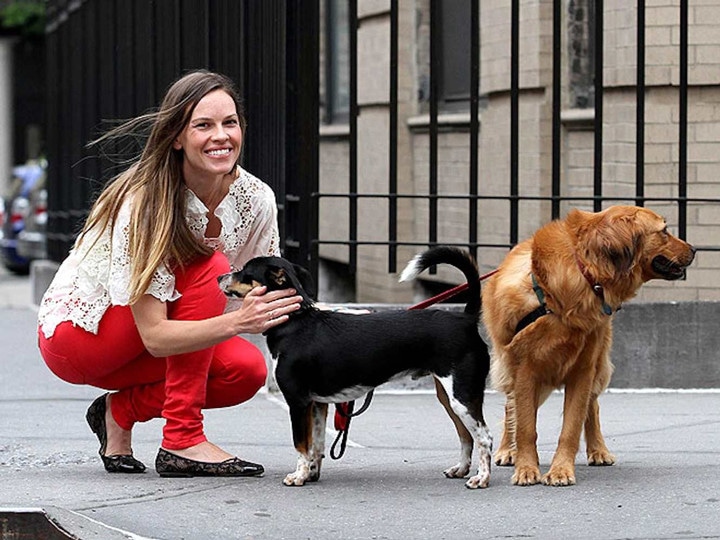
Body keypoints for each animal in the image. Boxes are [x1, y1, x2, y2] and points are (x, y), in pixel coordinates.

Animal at [217, 248, 492, 490]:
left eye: (245, 271)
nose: (220, 277)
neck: (295, 322)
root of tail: (465, 319)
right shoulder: (318, 404)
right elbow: (317, 445)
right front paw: (311, 474)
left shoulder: (298, 402)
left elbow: (301, 444)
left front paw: (298, 476)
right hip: (449, 398)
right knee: (466, 435)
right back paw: (460, 469)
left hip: (462, 396)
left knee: (484, 437)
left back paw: (481, 478)